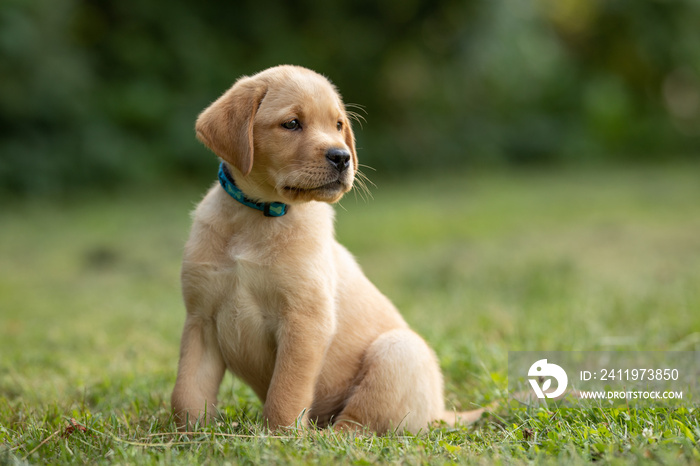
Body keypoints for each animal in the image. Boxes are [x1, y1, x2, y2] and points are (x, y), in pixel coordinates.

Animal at [172, 65, 484, 434]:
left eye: (338, 125)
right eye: (292, 123)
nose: (342, 156)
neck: (258, 215)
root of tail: (441, 411)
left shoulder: (305, 321)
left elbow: (286, 394)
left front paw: (280, 439)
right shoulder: (201, 320)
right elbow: (187, 393)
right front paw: (186, 437)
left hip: (398, 350)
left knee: (356, 426)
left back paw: (323, 437)